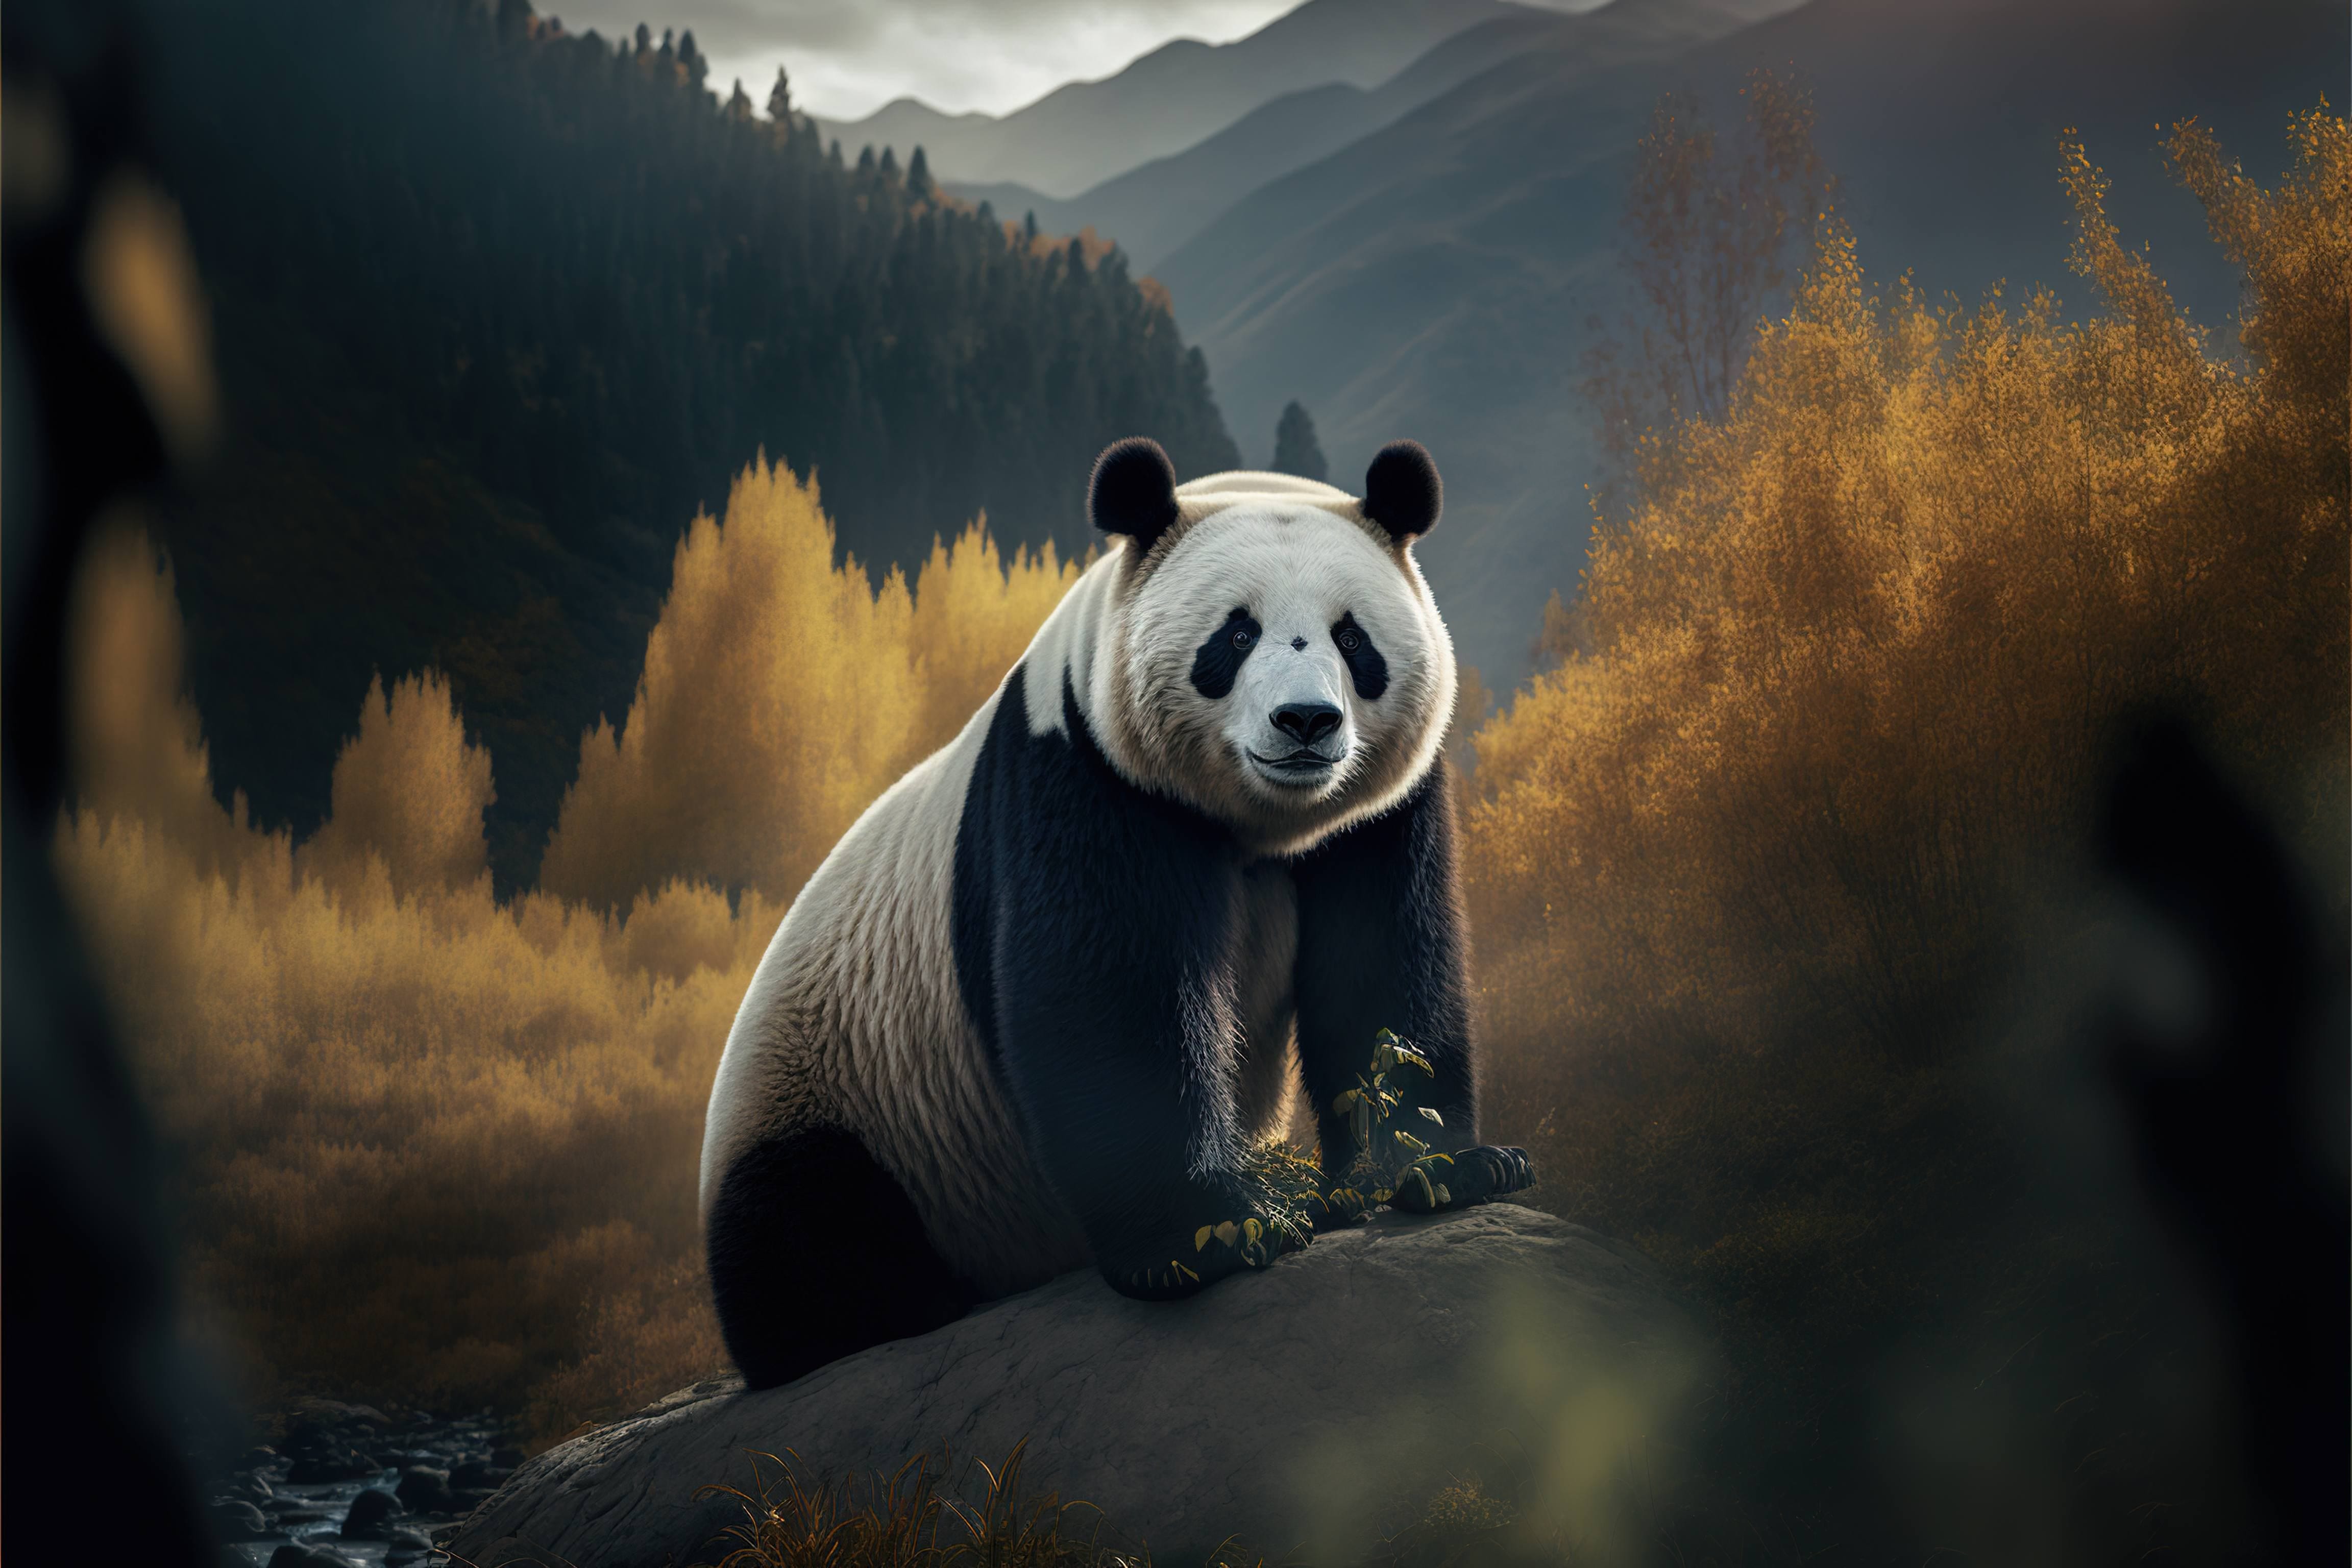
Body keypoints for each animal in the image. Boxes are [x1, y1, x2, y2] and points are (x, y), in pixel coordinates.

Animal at [699, 436, 1534, 1390]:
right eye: (1235, 635)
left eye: (1351, 637)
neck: (1261, 825)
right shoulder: (1084, 769)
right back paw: (900, 1307)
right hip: (840, 1098)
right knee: (812, 1232)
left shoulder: (1374, 817)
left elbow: (1386, 968)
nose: (1306, 723)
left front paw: (1446, 1168)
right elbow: (1108, 1004)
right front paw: (1211, 1234)